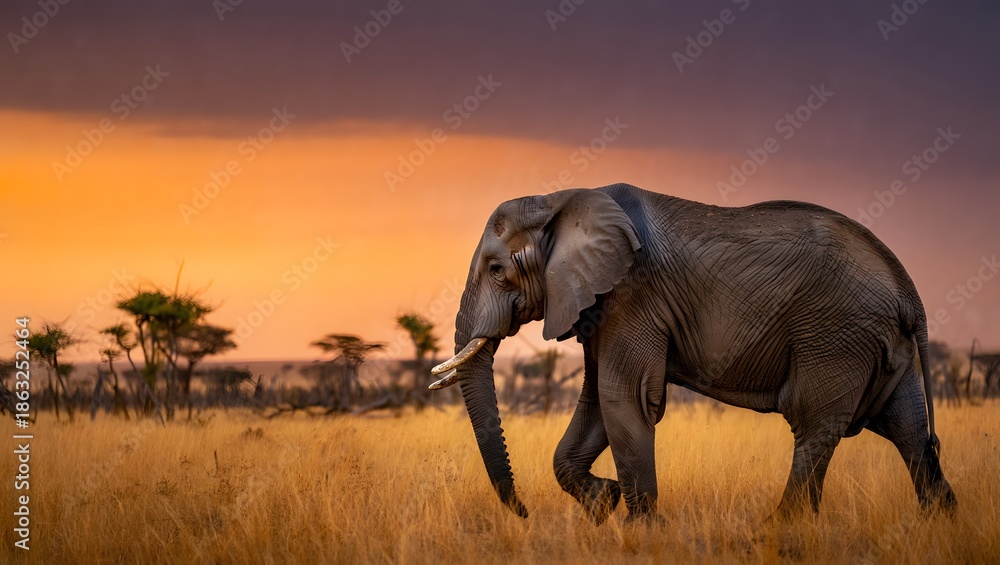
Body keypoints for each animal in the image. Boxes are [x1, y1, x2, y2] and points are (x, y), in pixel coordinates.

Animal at [429, 183, 956, 524]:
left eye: (496, 270)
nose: (524, 514)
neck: (558, 198)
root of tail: (907, 288)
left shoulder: (632, 294)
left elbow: (624, 399)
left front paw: (638, 530)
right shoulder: (600, 303)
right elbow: (598, 402)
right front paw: (604, 503)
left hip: (835, 334)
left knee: (815, 425)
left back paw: (779, 528)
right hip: (881, 344)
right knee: (908, 431)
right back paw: (941, 524)